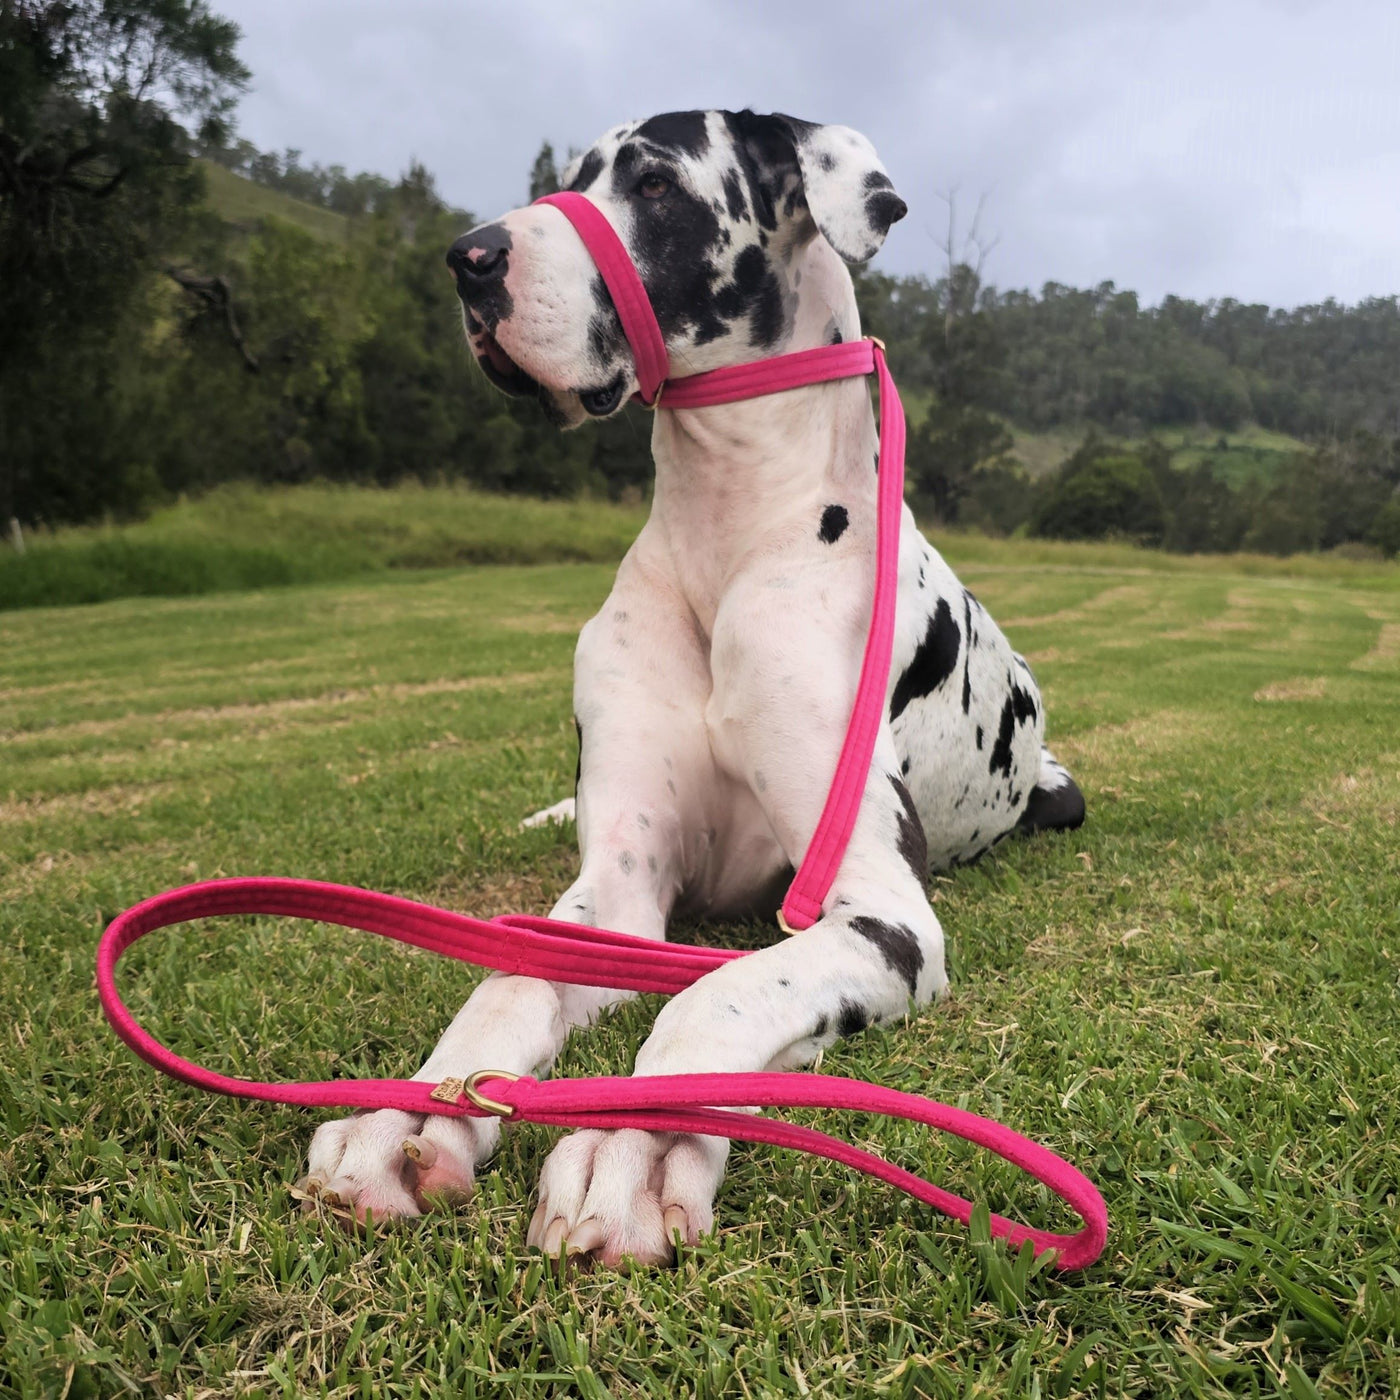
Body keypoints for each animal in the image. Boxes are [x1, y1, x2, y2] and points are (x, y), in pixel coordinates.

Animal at [301, 112, 1086, 1271]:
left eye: (657, 184)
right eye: (570, 176)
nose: (467, 257)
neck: (728, 534)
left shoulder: (883, 914)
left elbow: (718, 995)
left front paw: (634, 1144)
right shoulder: (620, 892)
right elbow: (507, 978)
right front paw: (412, 1109)